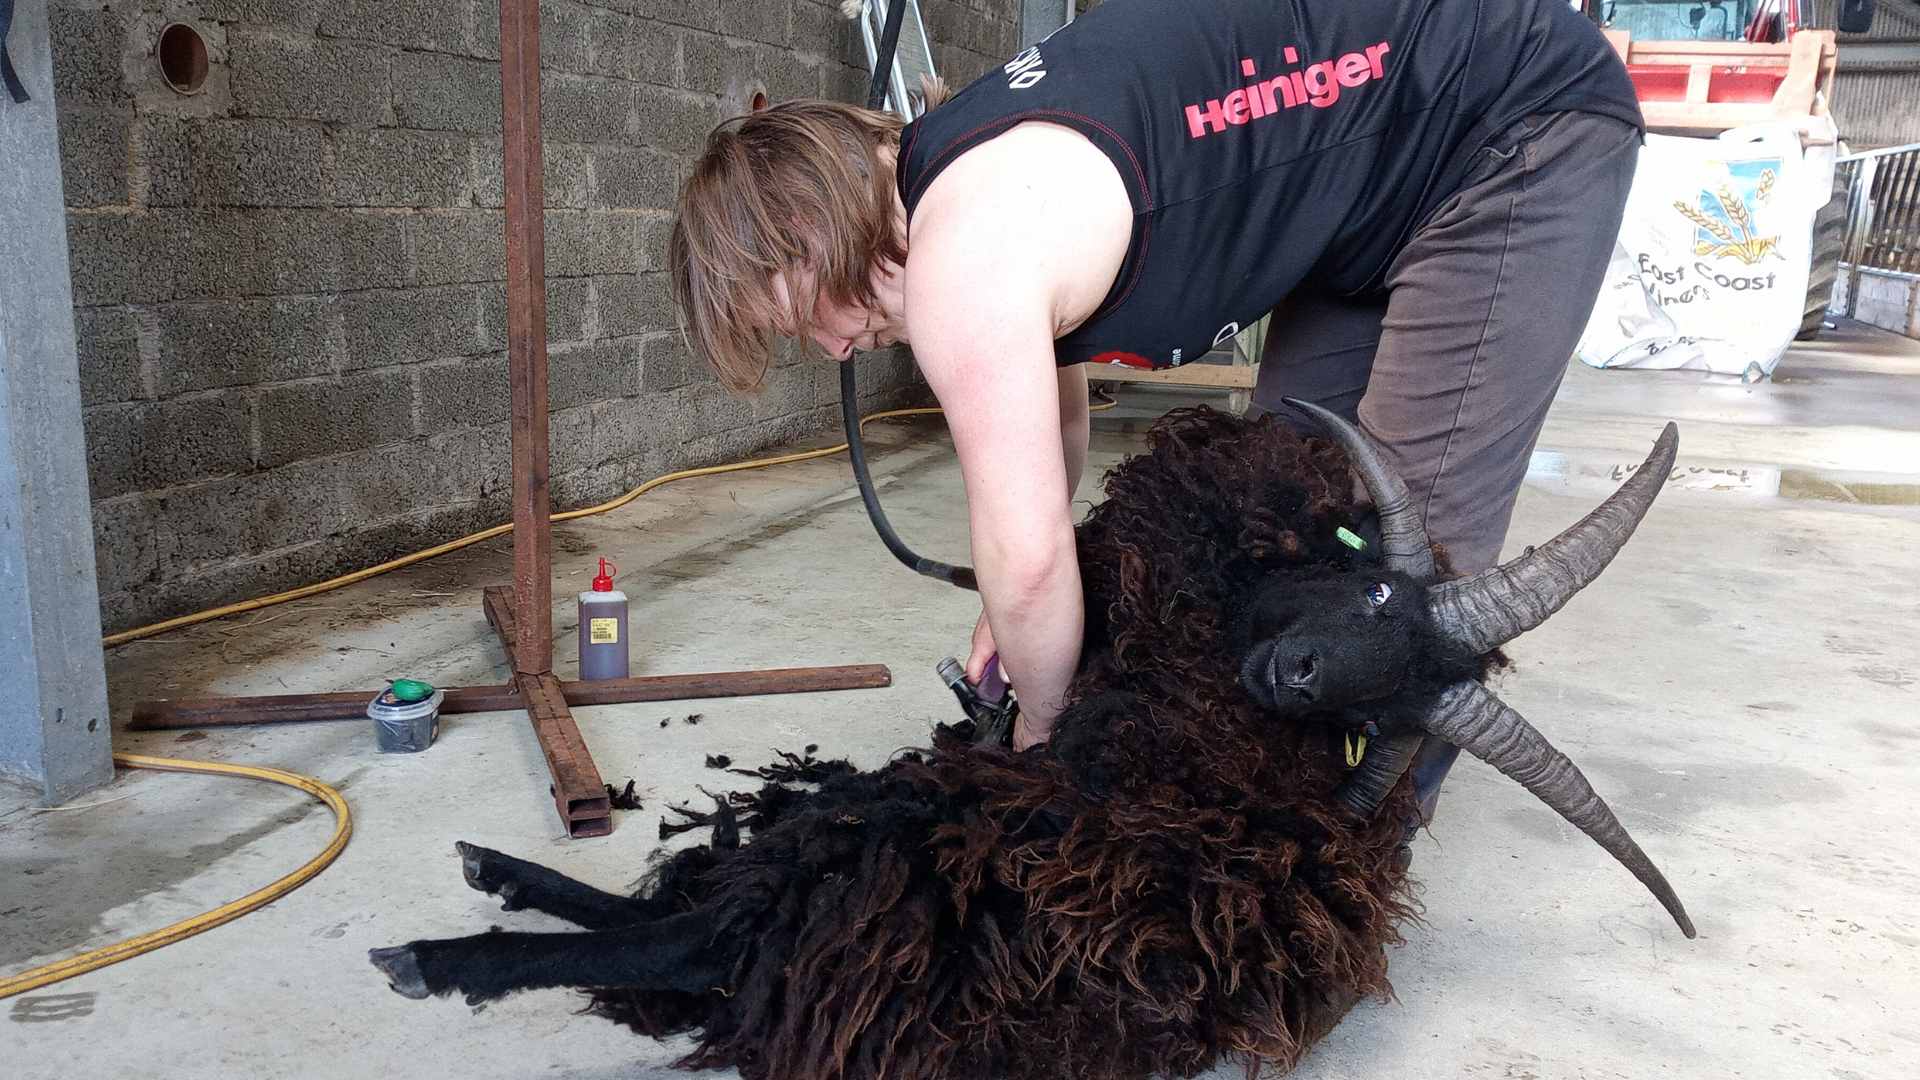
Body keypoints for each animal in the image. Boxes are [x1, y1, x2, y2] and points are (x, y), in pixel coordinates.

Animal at [368, 401, 1693, 1080]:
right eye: (1375, 591)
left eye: (1383, 724)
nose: (1300, 673)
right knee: (708, 912)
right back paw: (499, 875)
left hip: (897, 847)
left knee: (701, 935)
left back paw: (443, 954)